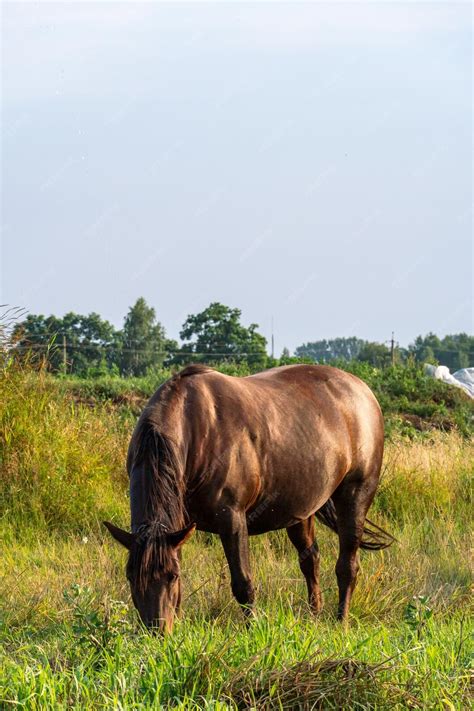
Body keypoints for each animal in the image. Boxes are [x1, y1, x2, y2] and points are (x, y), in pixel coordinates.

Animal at [104, 363, 394, 632]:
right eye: (131, 577)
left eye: (171, 576)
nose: (157, 632)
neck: (196, 428)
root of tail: (362, 390)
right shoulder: (179, 527)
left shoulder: (232, 519)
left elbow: (243, 582)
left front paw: (251, 629)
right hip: (301, 509)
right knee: (310, 559)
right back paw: (314, 615)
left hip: (356, 496)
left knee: (347, 566)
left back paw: (340, 621)